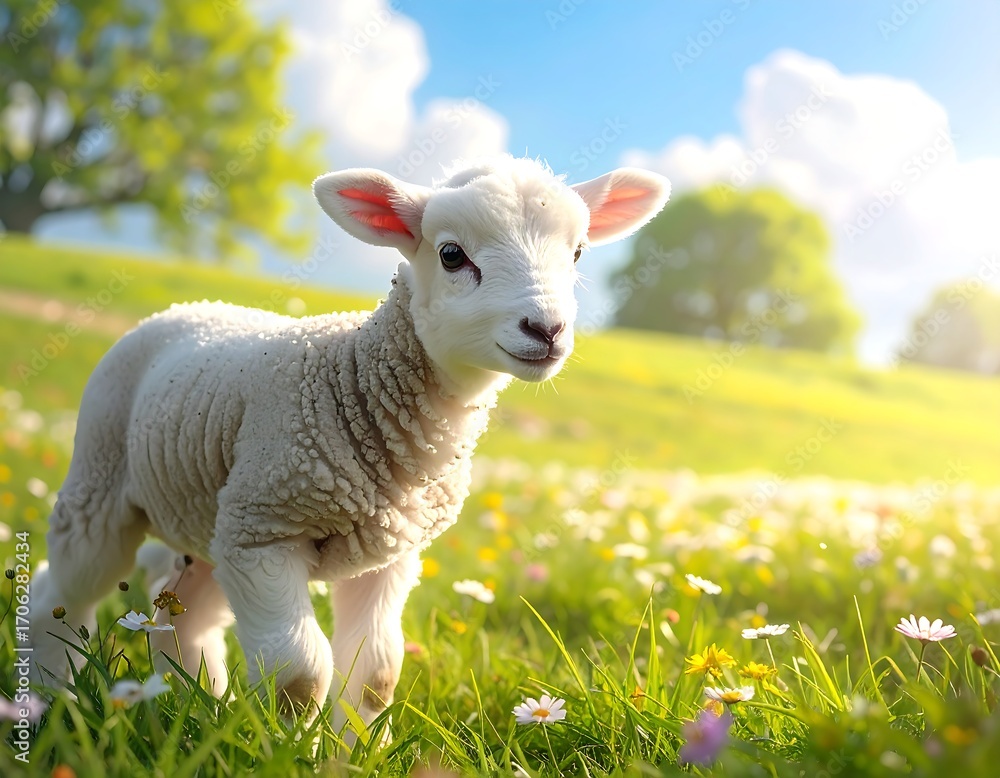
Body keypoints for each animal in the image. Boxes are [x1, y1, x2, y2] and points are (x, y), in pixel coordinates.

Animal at [29, 155, 670, 729]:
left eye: (578, 252)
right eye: (451, 254)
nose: (546, 330)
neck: (358, 379)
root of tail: (186, 308)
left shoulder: (388, 553)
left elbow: (375, 675)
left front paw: (351, 751)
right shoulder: (266, 533)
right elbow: (298, 675)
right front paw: (290, 751)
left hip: (212, 519)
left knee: (185, 619)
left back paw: (200, 707)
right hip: (106, 479)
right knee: (60, 592)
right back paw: (49, 699)